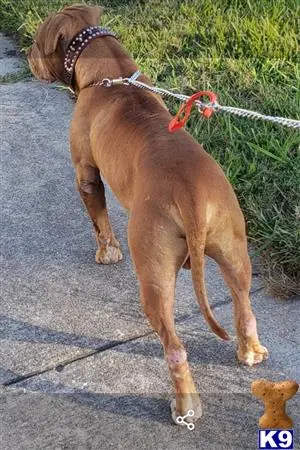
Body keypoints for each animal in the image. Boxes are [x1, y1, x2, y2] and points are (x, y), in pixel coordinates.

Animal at [27, 4, 268, 426]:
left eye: (39, 42)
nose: (26, 52)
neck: (111, 75)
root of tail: (191, 195)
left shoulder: (86, 174)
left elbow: (99, 218)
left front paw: (107, 253)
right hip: (233, 247)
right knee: (243, 304)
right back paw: (250, 352)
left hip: (153, 273)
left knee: (174, 346)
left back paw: (185, 407)